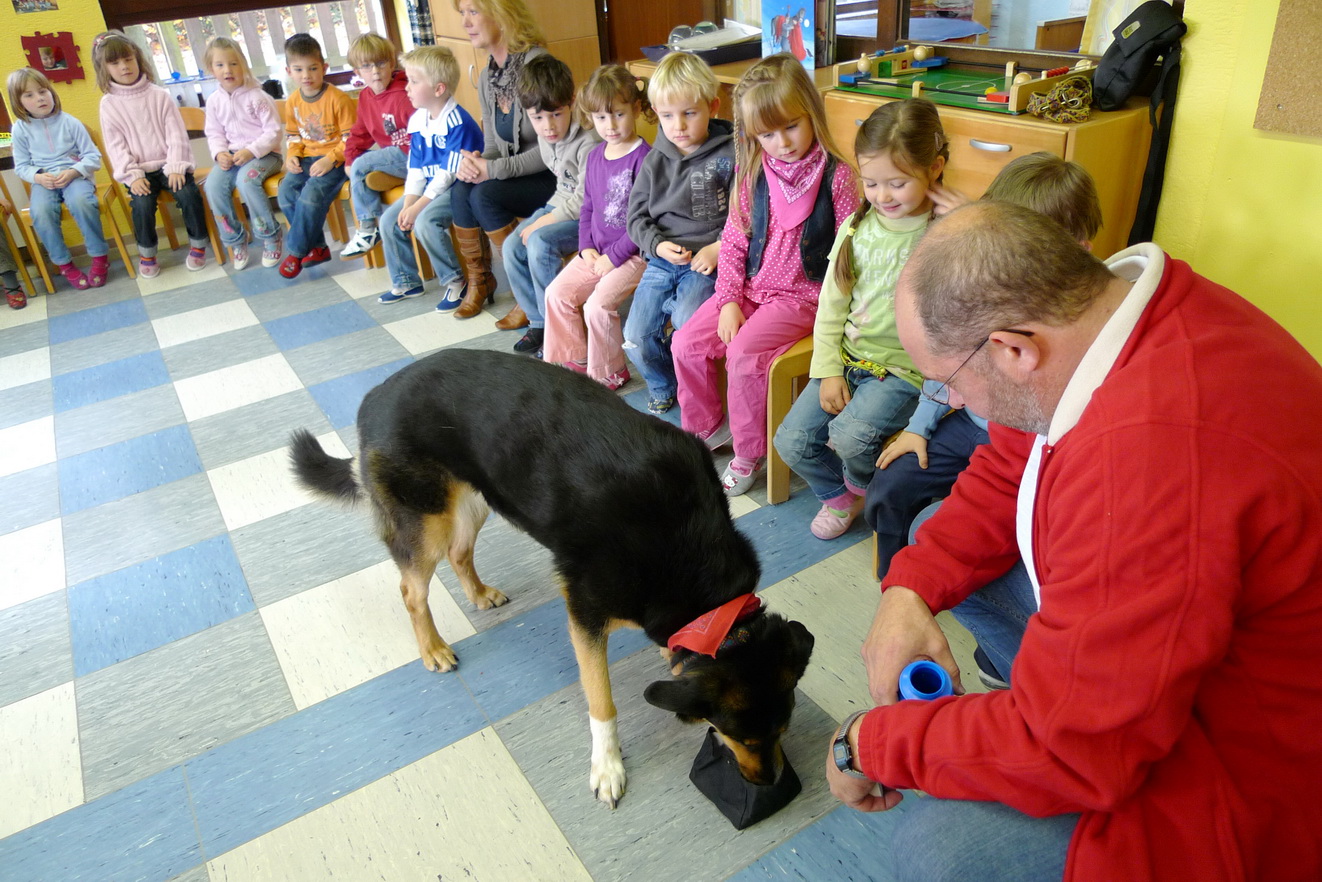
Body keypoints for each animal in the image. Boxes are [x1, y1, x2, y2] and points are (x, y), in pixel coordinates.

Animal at [290, 349, 814, 807]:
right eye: (743, 737)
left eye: (784, 729)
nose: (772, 782)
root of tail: (376, 394)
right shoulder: (586, 615)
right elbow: (602, 703)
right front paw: (607, 766)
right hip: (428, 519)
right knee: (411, 589)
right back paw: (433, 648)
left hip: (481, 496)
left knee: (460, 552)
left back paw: (479, 594)